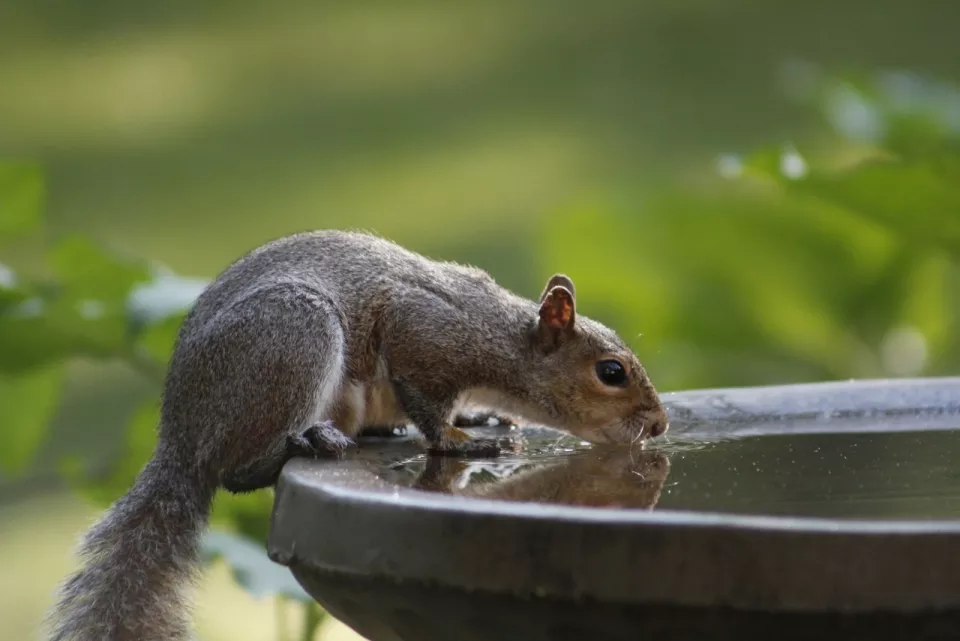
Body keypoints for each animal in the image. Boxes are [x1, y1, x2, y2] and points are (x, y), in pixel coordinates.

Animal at [41, 230, 664, 640]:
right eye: (611, 372)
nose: (658, 425)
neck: (504, 342)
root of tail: (180, 435)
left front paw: (479, 420)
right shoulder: (423, 335)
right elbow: (430, 413)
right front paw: (462, 440)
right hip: (294, 336)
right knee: (237, 471)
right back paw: (304, 444)